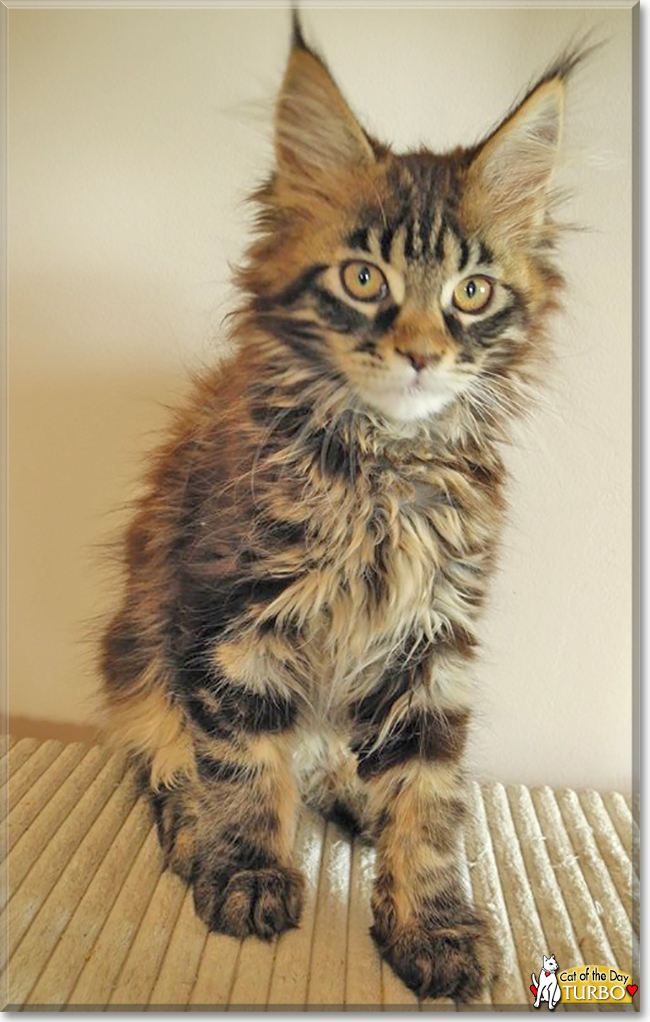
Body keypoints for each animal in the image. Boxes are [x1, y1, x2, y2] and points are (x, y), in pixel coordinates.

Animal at [99, 12, 584, 1001]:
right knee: (166, 753)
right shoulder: (234, 621)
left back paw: (352, 792)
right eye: (365, 280)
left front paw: (430, 922)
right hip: (138, 647)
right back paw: (194, 829)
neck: (385, 472)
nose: (422, 354)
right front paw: (248, 870)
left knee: (336, 758)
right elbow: (243, 764)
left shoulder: (433, 641)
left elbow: (429, 801)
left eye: (471, 292)